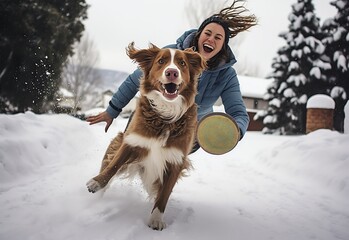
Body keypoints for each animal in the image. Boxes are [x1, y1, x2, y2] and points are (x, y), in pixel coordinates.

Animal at [86, 43, 205, 231]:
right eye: (161, 61)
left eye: (182, 63)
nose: (172, 72)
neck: (165, 115)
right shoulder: (132, 142)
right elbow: (113, 166)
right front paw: (96, 183)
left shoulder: (176, 161)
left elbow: (164, 195)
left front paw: (156, 219)